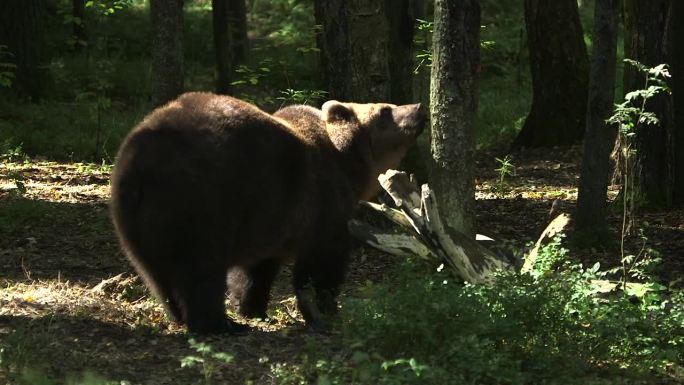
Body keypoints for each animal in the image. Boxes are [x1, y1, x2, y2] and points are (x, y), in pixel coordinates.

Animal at [109, 93, 424, 332]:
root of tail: (139, 162)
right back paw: (220, 324)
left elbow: (255, 270)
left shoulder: (272, 216)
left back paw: (179, 314)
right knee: (200, 267)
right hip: (199, 199)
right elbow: (323, 260)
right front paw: (326, 308)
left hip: (134, 218)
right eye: (385, 110)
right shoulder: (320, 202)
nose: (418, 107)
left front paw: (253, 307)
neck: (348, 166)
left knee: (156, 273)